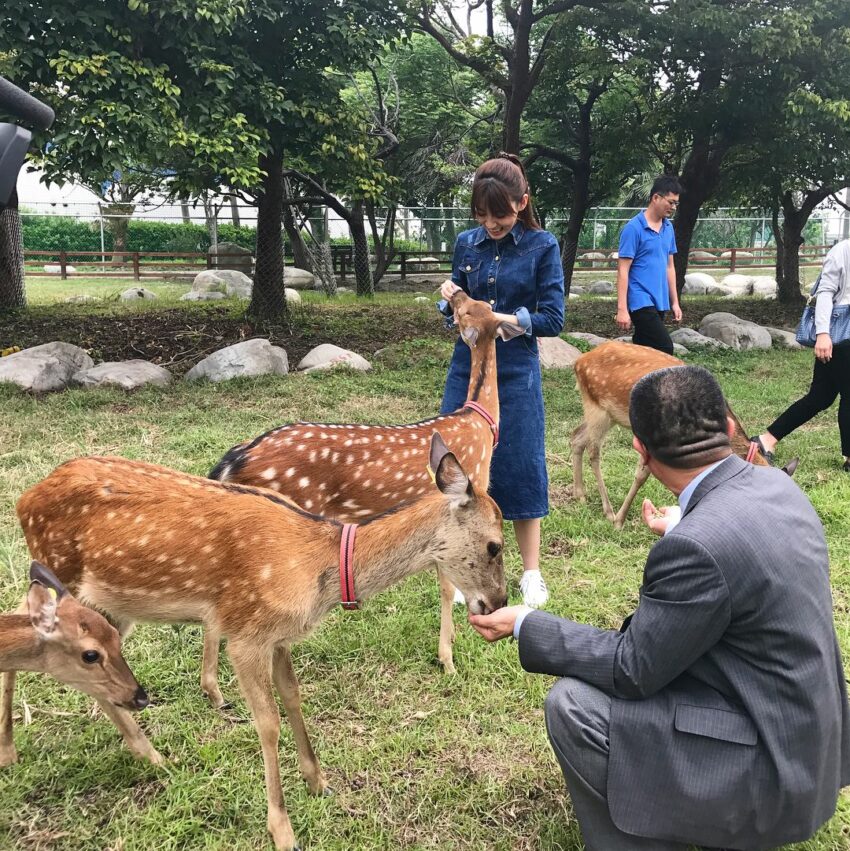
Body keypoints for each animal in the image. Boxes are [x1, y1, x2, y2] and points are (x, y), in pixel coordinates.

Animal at [208, 288, 516, 692]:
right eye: (467, 309)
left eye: (478, 304)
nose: (455, 292)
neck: (481, 424)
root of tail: (235, 458)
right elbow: (448, 587)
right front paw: (448, 661)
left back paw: (214, 691)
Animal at [568, 342, 792, 528]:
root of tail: (579, 362)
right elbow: (642, 475)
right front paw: (619, 521)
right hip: (597, 407)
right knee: (593, 450)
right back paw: (608, 511)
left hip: (606, 413)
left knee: (576, 436)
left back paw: (580, 495)